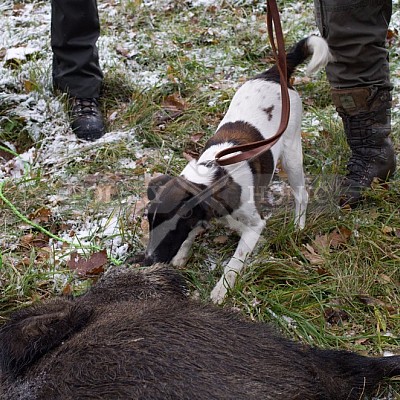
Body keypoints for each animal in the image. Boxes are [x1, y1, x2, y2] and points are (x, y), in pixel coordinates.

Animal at [144, 36, 332, 304]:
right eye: (149, 222)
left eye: (171, 227)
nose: (148, 261)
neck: (215, 175)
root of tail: (273, 73)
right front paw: (183, 252)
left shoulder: (254, 227)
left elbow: (235, 261)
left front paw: (222, 288)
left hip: (292, 154)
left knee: (301, 194)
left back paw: (298, 225)